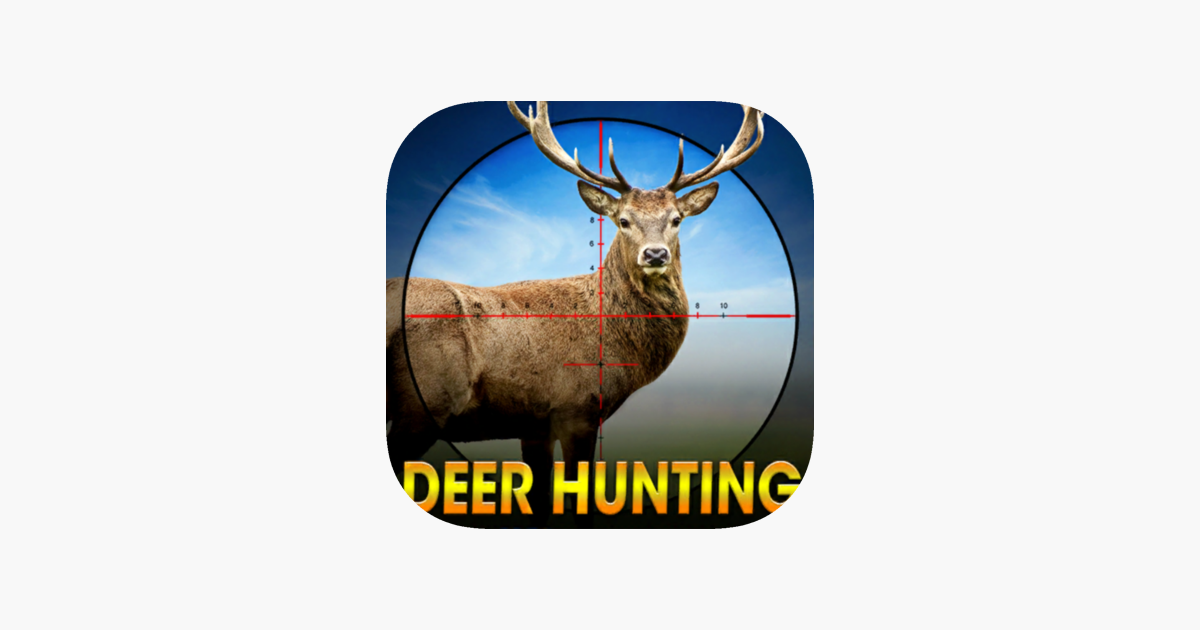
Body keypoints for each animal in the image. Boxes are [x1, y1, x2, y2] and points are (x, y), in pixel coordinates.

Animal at [386, 101, 764, 520]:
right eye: (623, 220)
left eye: (676, 220)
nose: (655, 254)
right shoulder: (576, 408)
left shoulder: (534, 425)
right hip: (426, 399)